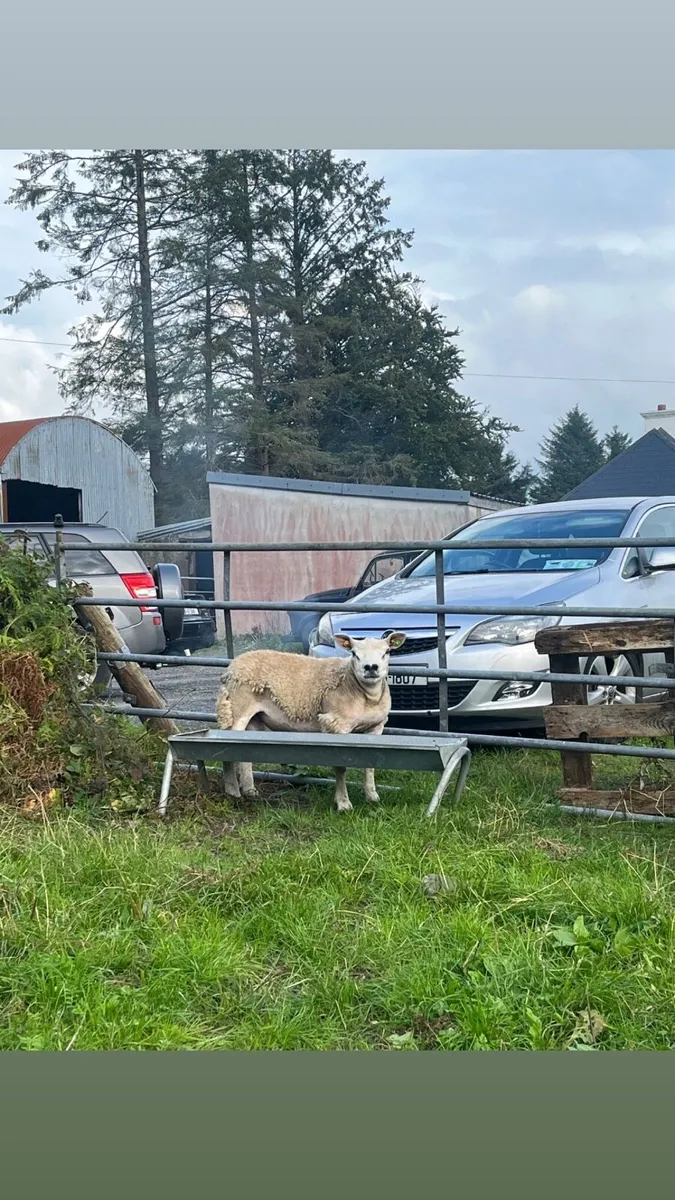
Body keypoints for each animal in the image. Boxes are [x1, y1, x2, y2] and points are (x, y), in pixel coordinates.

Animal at [215, 631, 407, 812]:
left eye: (387, 651)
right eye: (354, 653)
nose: (371, 667)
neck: (365, 694)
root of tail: (231, 668)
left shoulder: (376, 727)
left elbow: (370, 765)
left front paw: (372, 796)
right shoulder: (336, 725)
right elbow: (341, 767)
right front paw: (343, 803)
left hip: (253, 719)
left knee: (243, 755)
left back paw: (249, 790)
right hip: (236, 709)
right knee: (227, 752)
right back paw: (233, 792)